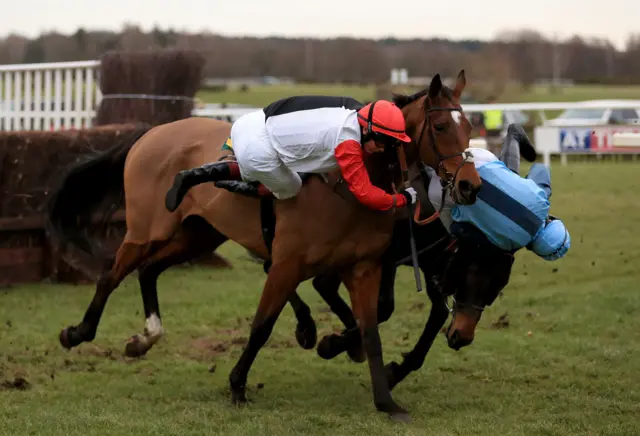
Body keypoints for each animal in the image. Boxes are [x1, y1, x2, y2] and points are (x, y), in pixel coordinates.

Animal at [46, 71, 480, 422]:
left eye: (469, 127)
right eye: (441, 125)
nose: (469, 185)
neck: (349, 183)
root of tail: (151, 132)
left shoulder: (364, 267)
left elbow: (371, 332)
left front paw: (386, 401)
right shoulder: (290, 262)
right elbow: (261, 326)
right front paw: (238, 384)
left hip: (198, 234)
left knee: (149, 269)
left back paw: (146, 336)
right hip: (146, 229)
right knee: (112, 273)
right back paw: (78, 332)